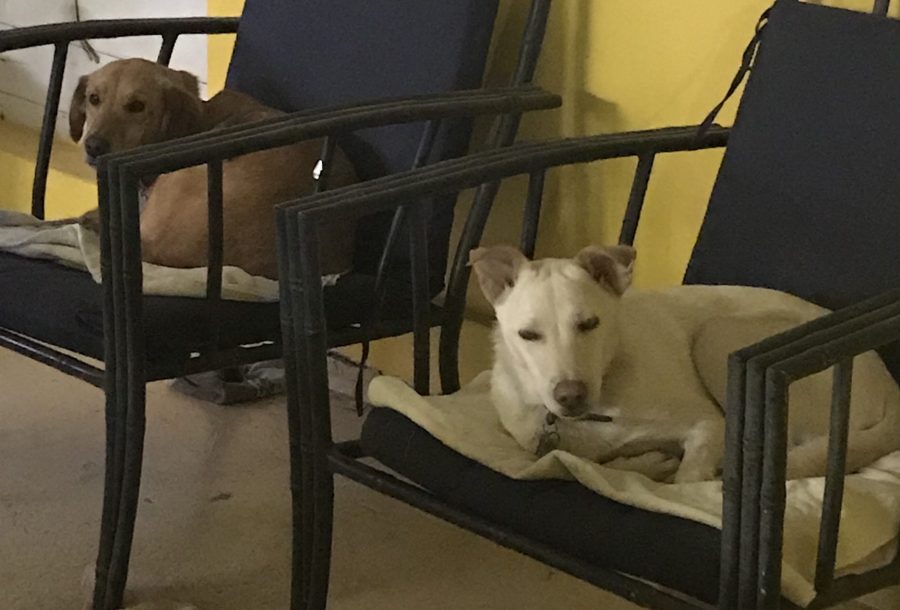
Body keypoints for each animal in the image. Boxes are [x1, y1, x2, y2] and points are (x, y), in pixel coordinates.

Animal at [470, 244, 900, 483]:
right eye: (529, 335)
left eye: (589, 323)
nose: (571, 396)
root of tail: (889, 383)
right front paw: (646, 461)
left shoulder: (710, 425)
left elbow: (686, 478)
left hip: (716, 336)